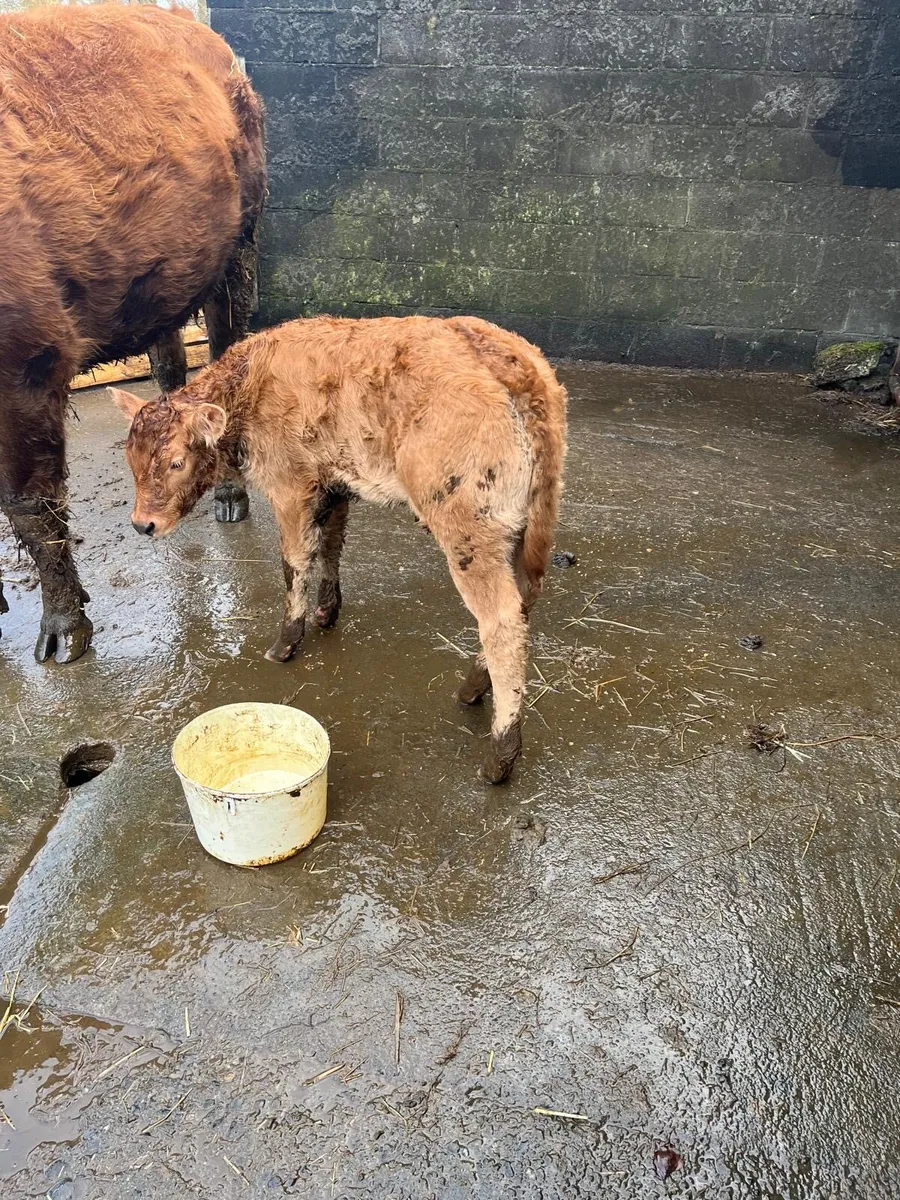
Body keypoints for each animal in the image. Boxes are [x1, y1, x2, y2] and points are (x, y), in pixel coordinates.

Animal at [0, 4, 265, 663]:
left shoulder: (28, 363)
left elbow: (28, 500)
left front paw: (63, 633)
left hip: (238, 250)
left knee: (226, 348)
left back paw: (229, 499)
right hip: (164, 281)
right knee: (170, 368)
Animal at [111, 315, 568, 783]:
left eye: (176, 462)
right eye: (131, 459)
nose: (143, 524)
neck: (251, 382)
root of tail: (512, 365)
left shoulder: (290, 488)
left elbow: (294, 562)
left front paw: (286, 642)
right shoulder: (334, 485)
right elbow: (330, 547)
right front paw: (326, 611)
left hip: (468, 527)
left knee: (501, 620)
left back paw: (500, 752)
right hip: (527, 522)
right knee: (525, 597)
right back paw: (475, 686)